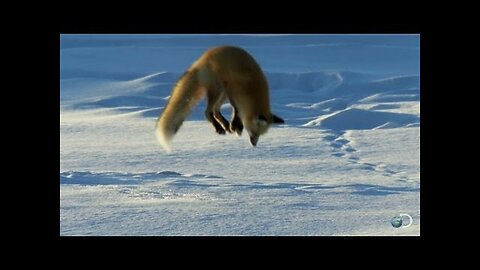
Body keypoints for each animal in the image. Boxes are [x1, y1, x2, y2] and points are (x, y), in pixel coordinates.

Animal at [156, 46, 284, 152]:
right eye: (254, 132)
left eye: (260, 135)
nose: (254, 144)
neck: (252, 88)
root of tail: (199, 61)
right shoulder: (232, 90)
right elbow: (236, 109)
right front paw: (236, 125)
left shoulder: (235, 95)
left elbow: (236, 111)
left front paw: (235, 125)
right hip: (219, 90)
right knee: (208, 112)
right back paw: (219, 128)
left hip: (222, 95)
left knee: (215, 110)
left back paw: (225, 125)